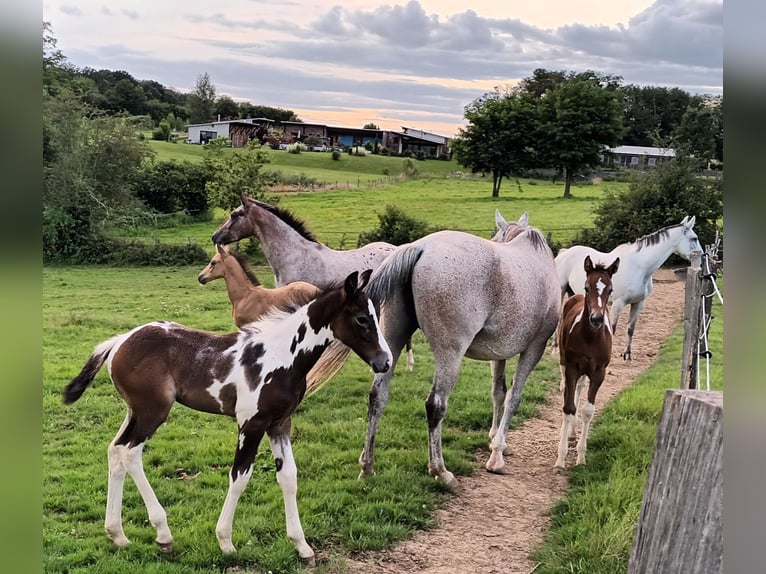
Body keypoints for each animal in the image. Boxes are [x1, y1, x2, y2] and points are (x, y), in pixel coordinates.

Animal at [63, 272, 392, 564]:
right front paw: (225, 541)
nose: (385, 361)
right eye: (362, 319)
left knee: (115, 450)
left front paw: (302, 547)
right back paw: (163, 534)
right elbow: (240, 476)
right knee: (130, 453)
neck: (283, 356)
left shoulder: (279, 424)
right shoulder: (251, 424)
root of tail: (119, 342)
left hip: (135, 411)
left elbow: (288, 477)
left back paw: (117, 534)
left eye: (375, 316)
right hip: (152, 412)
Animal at [556, 254, 620, 470]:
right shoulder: (571, 368)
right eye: (586, 287)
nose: (597, 318)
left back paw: (573, 433)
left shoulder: (599, 372)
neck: (590, 338)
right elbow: (568, 409)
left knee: (579, 388)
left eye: (610, 289)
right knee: (568, 391)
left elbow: (588, 410)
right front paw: (561, 458)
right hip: (565, 363)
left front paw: (581, 457)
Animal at [560, 216, 704, 360]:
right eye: (694, 238)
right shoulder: (618, 304)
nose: (702, 259)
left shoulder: (638, 303)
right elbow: (612, 329)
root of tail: (565, 252)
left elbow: (630, 328)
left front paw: (627, 354)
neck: (638, 267)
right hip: (561, 291)